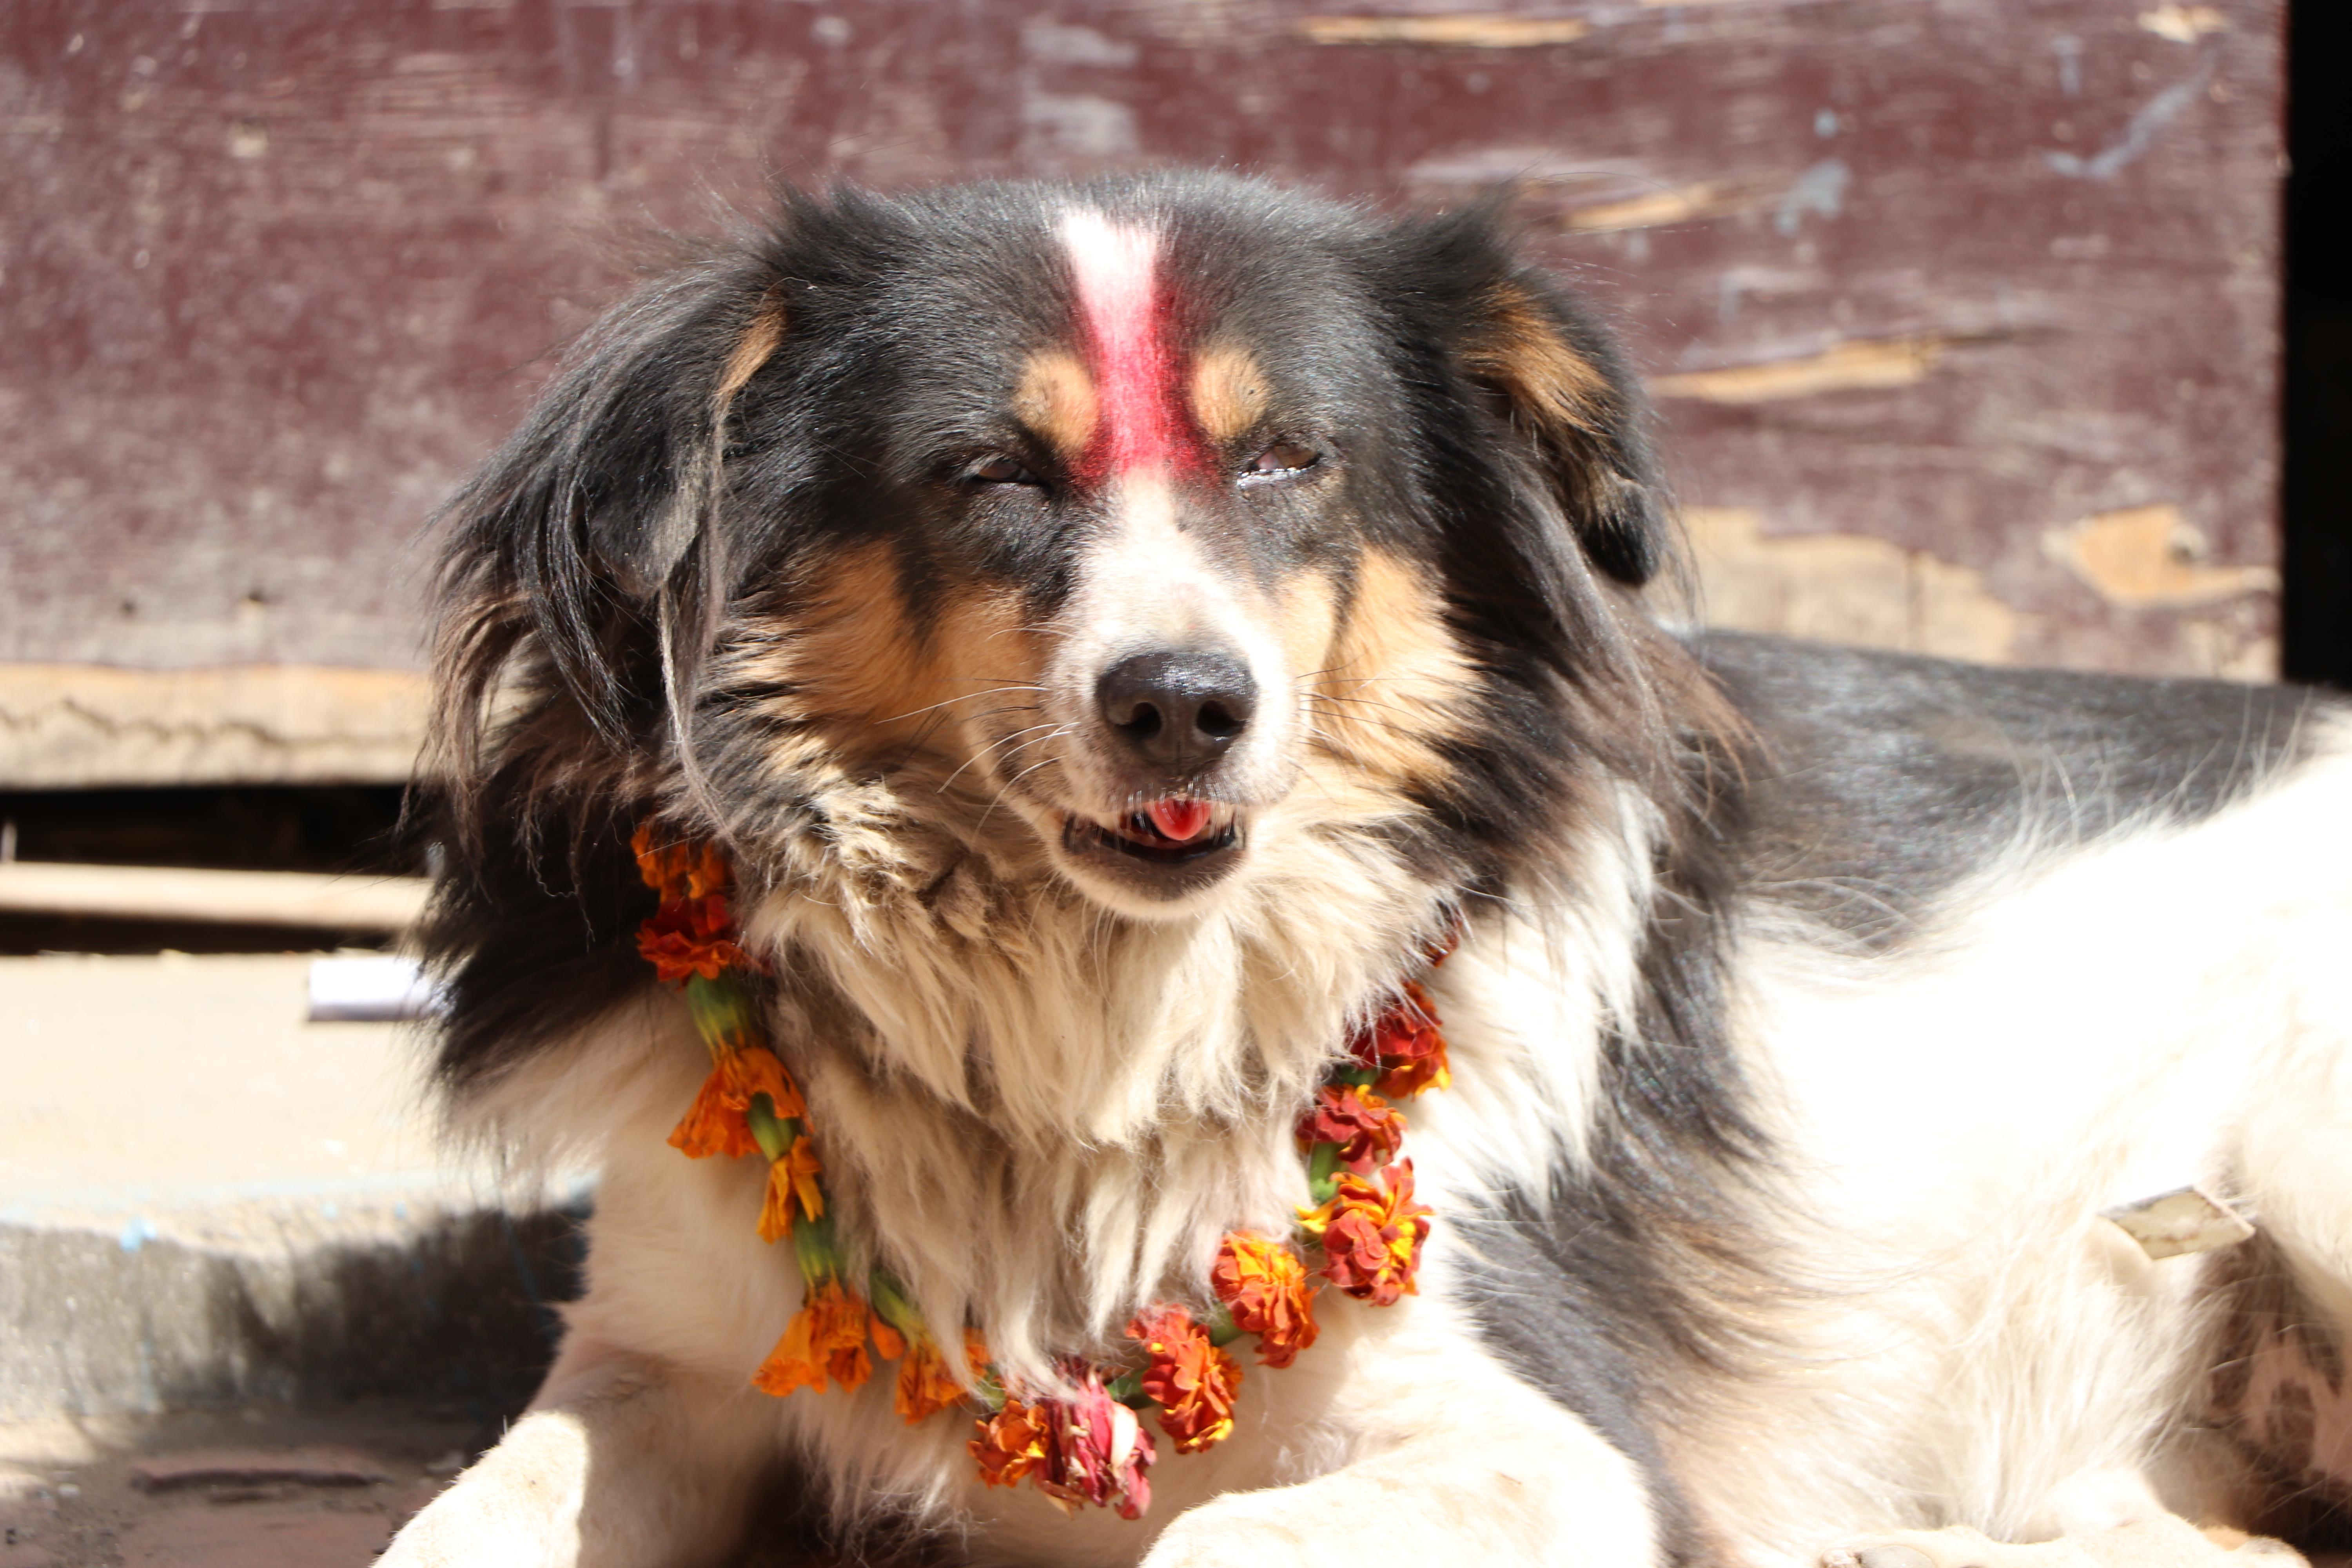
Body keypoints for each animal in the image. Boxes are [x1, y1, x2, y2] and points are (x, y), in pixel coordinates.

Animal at [386, 175, 2352, 1568]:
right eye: (989, 472)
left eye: (1287, 459)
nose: (1183, 706)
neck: (1088, 1032)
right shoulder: (661, 1356)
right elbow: (461, 1517)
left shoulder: (1556, 1447)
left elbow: (1225, 1539)